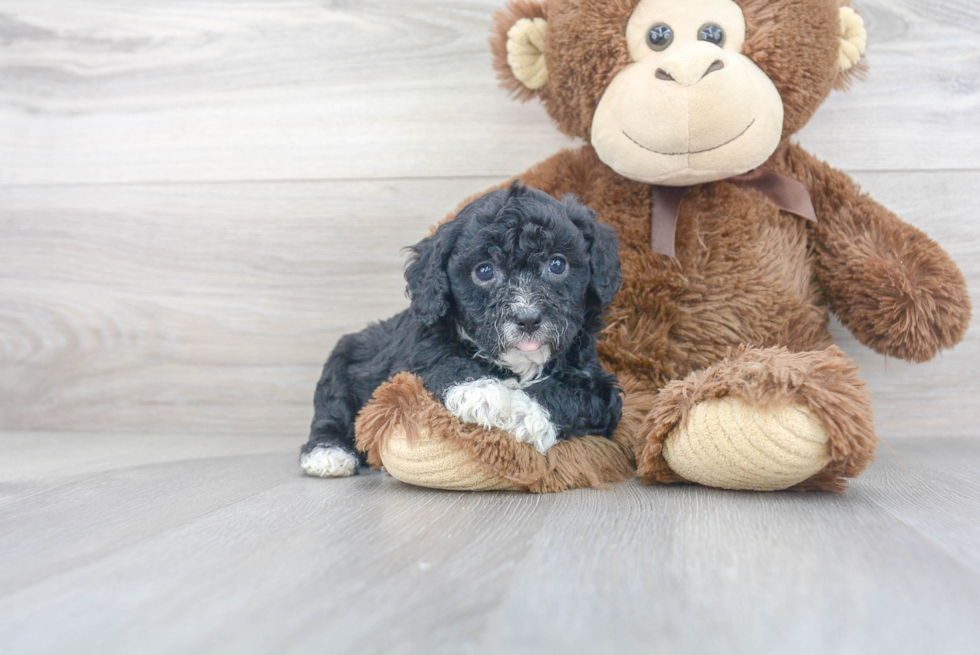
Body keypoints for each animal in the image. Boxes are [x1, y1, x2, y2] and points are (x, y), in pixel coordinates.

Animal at [300, 182, 620, 480]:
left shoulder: (601, 386)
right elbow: (443, 362)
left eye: (557, 264)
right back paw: (327, 453)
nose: (528, 318)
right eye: (484, 271)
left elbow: (574, 394)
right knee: (331, 413)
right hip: (341, 364)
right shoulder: (414, 356)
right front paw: (481, 392)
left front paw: (522, 412)